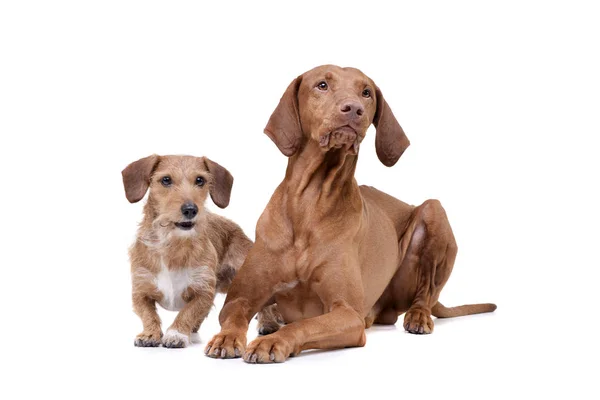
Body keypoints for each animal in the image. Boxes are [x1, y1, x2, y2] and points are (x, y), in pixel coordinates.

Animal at [122, 155, 282, 348]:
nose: (191, 209)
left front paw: (176, 333)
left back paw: (268, 323)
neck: (173, 245)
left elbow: (187, 312)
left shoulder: (203, 292)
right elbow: (148, 314)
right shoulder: (140, 290)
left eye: (200, 180)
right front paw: (150, 333)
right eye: (166, 180)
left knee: (264, 305)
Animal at [204, 65, 494, 362]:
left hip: (433, 211)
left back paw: (418, 316)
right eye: (322, 85)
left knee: (426, 292)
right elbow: (235, 315)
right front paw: (227, 338)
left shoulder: (347, 313)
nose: (354, 109)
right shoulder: (239, 298)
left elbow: (303, 324)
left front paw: (272, 342)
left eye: (366, 92)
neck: (310, 203)